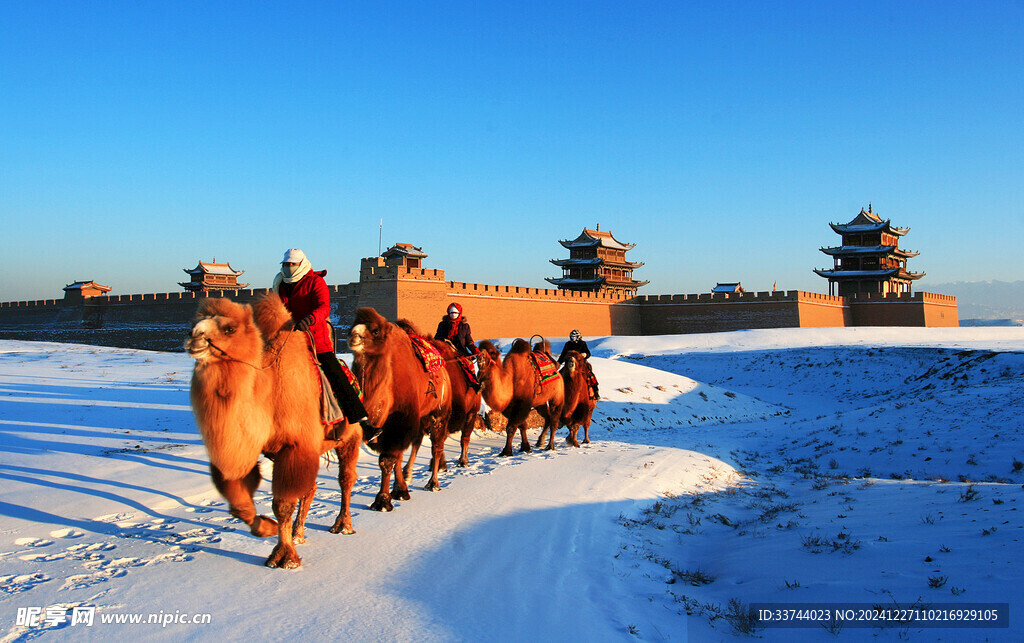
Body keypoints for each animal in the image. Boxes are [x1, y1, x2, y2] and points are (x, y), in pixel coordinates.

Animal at [186, 294, 366, 569]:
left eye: (229, 329)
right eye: (196, 321)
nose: (194, 336)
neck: (268, 391)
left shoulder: (294, 447)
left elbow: (282, 504)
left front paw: (284, 556)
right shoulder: (250, 445)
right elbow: (239, 501)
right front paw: (266, 529)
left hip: (350, 437)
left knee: (346, 478)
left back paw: (342, 525)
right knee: (310, 488)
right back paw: (299, 533)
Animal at [348, 307, 452, 511]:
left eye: (375, 331)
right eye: (352, 324)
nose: (353, 335)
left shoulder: (400, 422)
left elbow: (387, 460)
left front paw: (382, 501)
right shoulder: (388, 427)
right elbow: (395, 457)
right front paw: (400, 491)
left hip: (439, 412)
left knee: (436, 445)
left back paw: (433, 483)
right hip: (422, 416)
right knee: (417, 443)